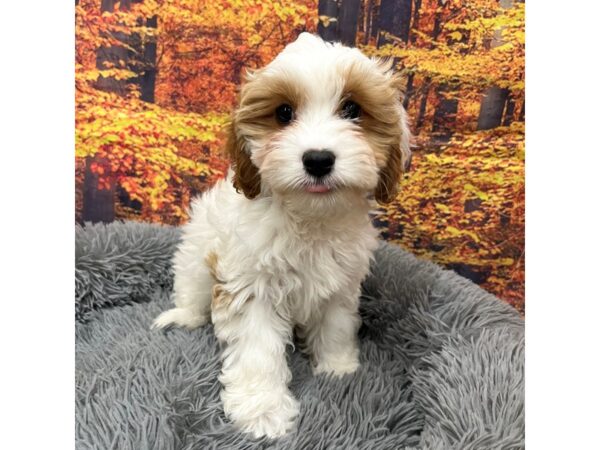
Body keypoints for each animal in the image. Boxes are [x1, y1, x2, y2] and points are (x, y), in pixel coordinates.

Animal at [152, 32, 410, 440]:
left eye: (352, 110)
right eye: (284, 113)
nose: (318, 159)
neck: (310, 217)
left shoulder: (341, 282)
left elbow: (336, 324)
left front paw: (337, 366)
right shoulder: (251, 287)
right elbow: (257, 349)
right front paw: (262, 409)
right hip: (195, 256)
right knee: (191, 292)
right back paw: (182, 317)